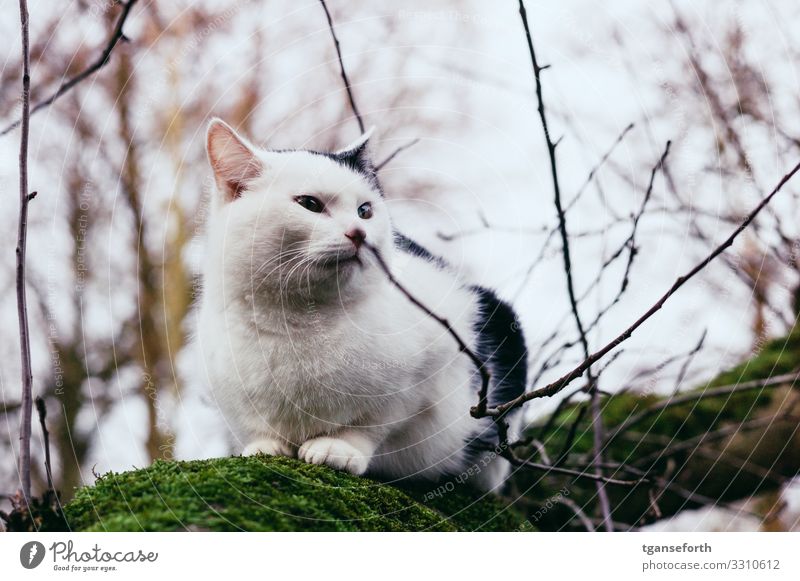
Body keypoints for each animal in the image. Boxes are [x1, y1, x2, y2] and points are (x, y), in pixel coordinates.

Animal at [197, 119, 528, 490]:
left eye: (365, 210)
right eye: (309, 204)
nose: (359, 232)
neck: (298, 318)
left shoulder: (429, 367)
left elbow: (373, 423)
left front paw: (339, 447)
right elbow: (256, 425)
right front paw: (265, 446)